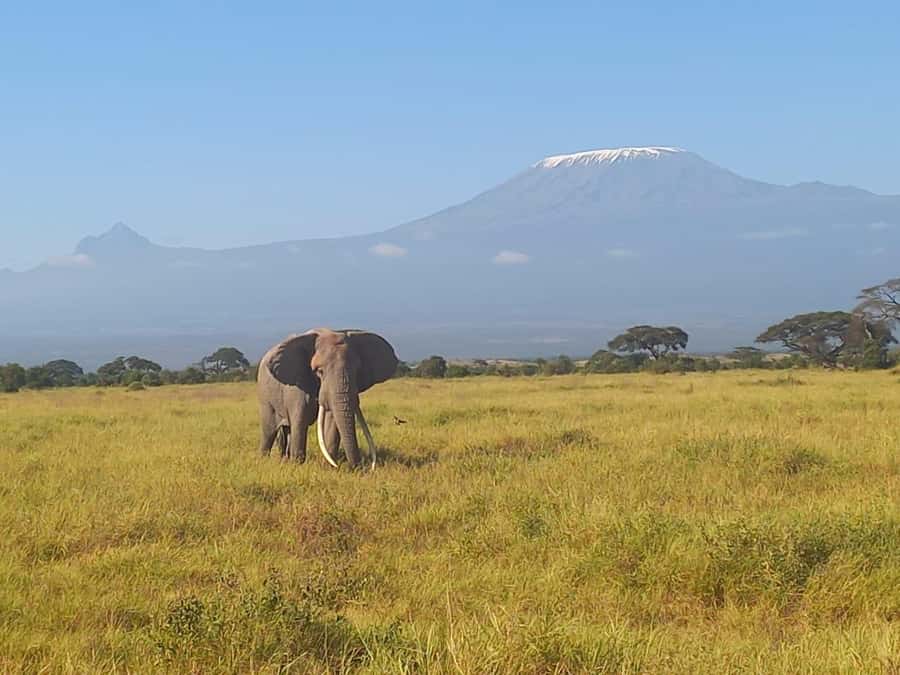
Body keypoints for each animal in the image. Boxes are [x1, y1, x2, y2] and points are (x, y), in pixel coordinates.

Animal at [257, 328, 398, 469]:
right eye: (319, 371)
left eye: (357, 371)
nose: (360, 467)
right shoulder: (296, 386)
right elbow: (300, 421)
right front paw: (296, 465)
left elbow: (332, 422)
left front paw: (329, 465)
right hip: (265, 395)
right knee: (270, 430)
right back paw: (264, 460)